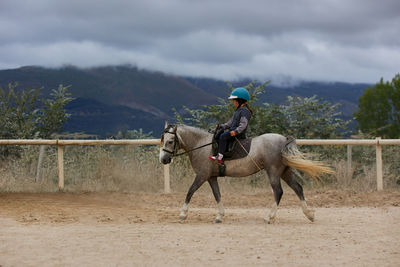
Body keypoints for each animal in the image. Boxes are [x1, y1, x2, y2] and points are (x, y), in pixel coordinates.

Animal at [159, 125, 332, 224]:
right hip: (285, 172)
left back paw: (269, 217)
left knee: (278, 191)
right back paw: (309, 215)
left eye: (170, 141)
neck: (201, 145)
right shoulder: (211, 177)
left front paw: (182, 214)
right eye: (162, 140)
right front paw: (219, 216)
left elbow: (190, 191)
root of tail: (283, 139)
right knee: (298, 189)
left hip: (273, 172)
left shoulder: (202, 175)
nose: (164, 159)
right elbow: (217, 195)